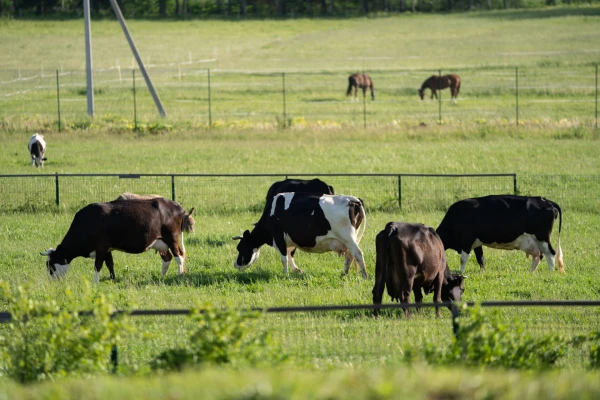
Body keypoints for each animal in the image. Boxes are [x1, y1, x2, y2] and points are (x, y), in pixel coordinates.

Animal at [232, 193, 368, 278]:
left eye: (241, 248)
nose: (236, 264)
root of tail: (352, 199)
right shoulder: (290, 240)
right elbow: (290, 255)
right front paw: (297, 270)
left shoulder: (279, 237)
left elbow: (284, 258)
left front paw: (285, 274)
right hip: (349, 240)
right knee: (349, 256)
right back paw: (344, 274)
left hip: (348, 238)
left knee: (358, 254)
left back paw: (365, 275)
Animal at [436, 195, 564, 276]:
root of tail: (545, 200)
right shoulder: (477, 243)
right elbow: (480, 258)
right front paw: (483, 272)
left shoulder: (466, 241)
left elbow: (463, 259)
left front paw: (460, 273)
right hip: (536, 242)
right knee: (538, 256)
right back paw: (530, 272)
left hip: (542, 237)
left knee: (550, 253)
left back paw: (550, 272)